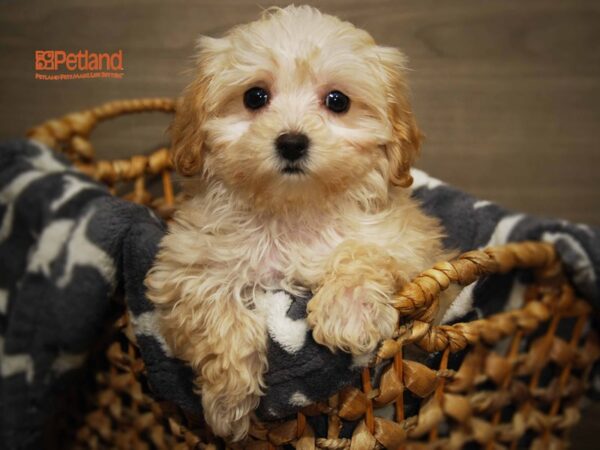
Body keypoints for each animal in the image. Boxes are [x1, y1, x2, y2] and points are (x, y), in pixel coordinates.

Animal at [145, 6, 452, 442]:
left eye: (337, 101)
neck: (292, 208)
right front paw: (228, 401)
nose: (291, 142)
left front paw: (348, 314)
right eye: (255, 97)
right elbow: (213, 309)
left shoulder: (410, 244)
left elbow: (366, 251)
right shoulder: (185, 265)